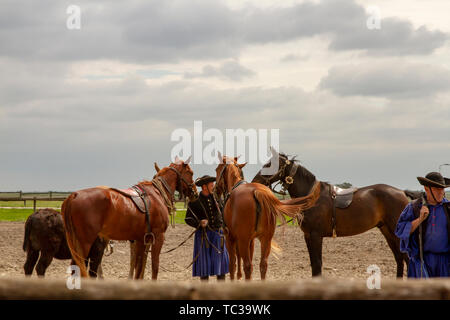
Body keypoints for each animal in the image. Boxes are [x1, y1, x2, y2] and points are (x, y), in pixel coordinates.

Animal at [62, 156, 197, 278]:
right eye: (191, 172)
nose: (195, 192)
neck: (157, 194)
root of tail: (73, 196)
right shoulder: (158, 237)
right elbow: (154, 267)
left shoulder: (141, 240)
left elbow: (139, 268)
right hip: (84, 243)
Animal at [251, 149, 414, 276]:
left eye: (269, 165)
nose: (255, 181)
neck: (312, 196)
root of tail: (402, 193)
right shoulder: (308, 236)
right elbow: (314, 264)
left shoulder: (316, 235)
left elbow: (317, 264)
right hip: (387, 231)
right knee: (399, 259)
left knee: (406, 258)